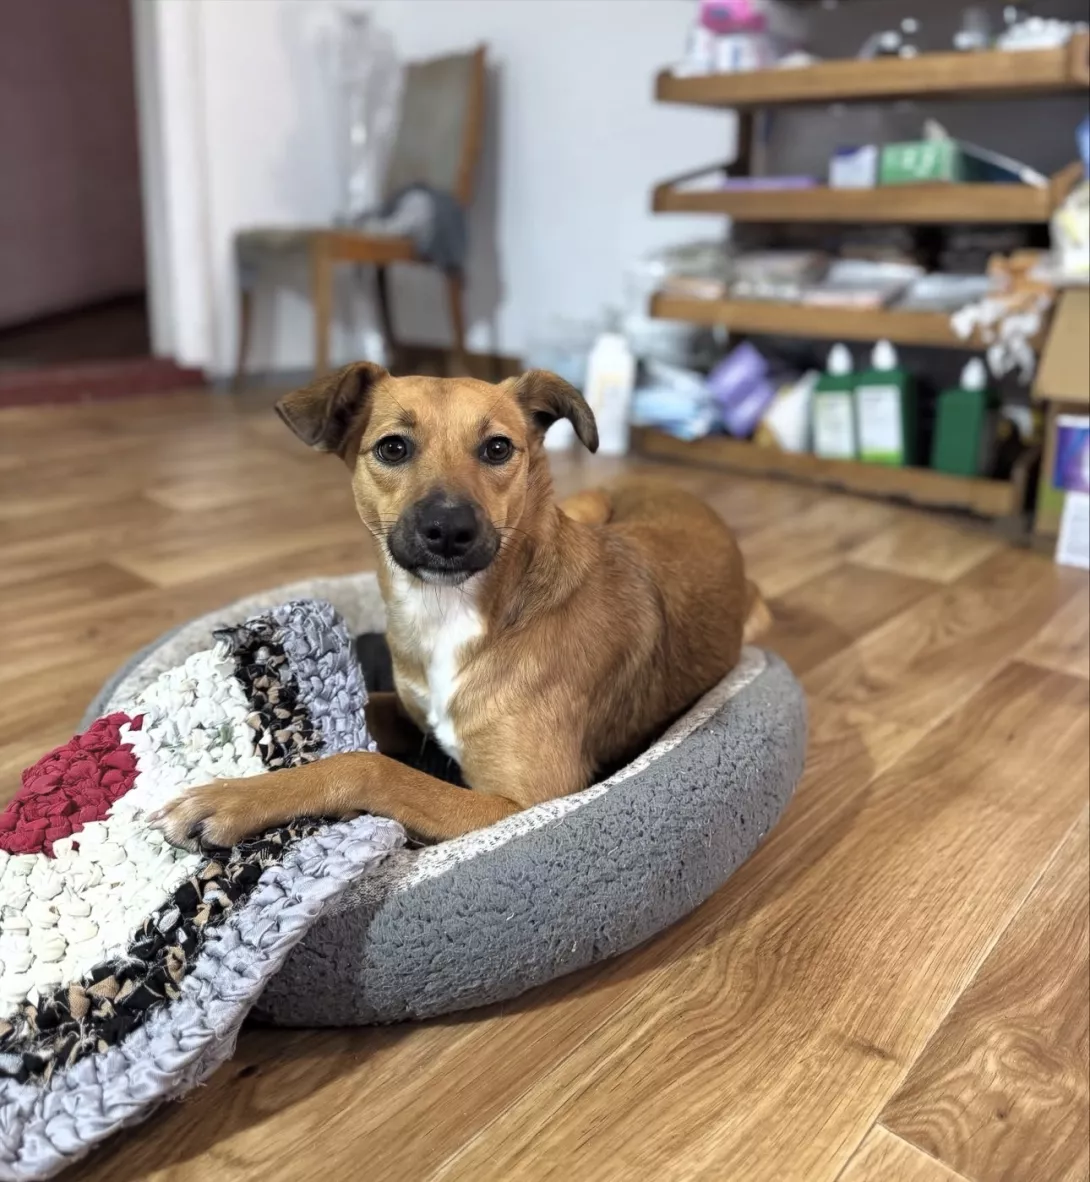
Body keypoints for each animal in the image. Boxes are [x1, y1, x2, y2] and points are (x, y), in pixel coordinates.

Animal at [151, 364, 768, 848]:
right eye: (392, 447)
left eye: (497, 448)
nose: (449, 529)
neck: (451, 612)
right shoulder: (410, 711)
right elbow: (353, 732)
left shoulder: (526, 802)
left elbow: (370, 766)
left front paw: (231, 800)